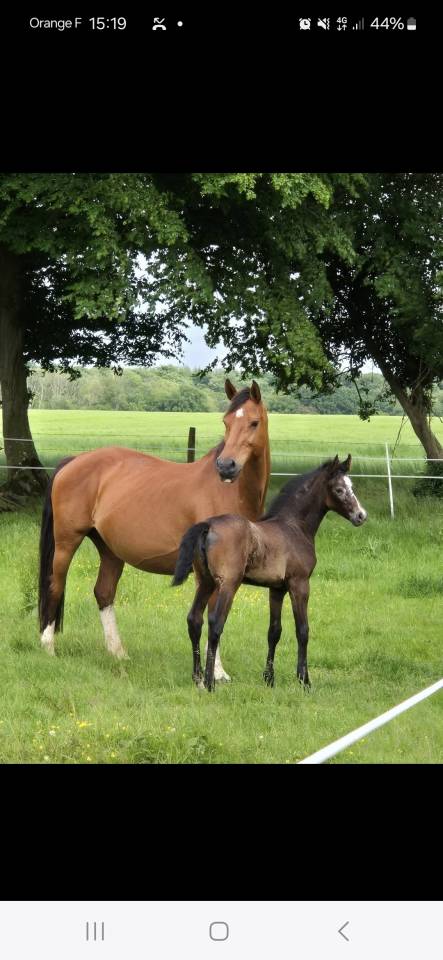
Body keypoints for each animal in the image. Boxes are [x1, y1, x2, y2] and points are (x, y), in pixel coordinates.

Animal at [38, 379, 270, 677]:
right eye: (226, 422)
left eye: (253, 422)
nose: (226, 466)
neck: (229, 492)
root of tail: (74, 460)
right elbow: (212, 613)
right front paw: (217, 673)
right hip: (67, 542)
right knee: (55, 585)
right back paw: (48, 647)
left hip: (110, 550)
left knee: (103, 593)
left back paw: (118, 653)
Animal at [172, 455, 367, 691]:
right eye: (339, 490)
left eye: (352, 487)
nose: (361, 516)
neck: (294, 527)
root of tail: (208, 525)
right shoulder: (299, 584)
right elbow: (303, 630)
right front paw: (304, 680)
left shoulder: (276, 590)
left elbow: (274, 631)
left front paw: (269, 679)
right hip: (228, 584)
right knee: (215, 625)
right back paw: (210, 683)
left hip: (205, 582)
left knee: (194, 620)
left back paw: (198, 679)